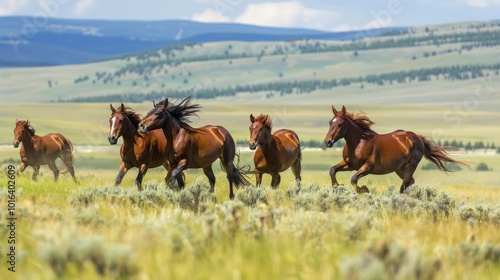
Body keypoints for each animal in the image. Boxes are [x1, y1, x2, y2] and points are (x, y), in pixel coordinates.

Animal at [324, 106, 468, 194]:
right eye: (330, 122)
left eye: (340, 124)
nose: (327, 141)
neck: (359, 142)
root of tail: (418, 137)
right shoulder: (350, 165)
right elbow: (332, 170)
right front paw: (337, 186)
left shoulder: (368, 167)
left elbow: (354, 179)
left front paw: (363, 189)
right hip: (399, 169)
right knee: (410, 182)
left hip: (410, 166)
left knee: (406, 183)